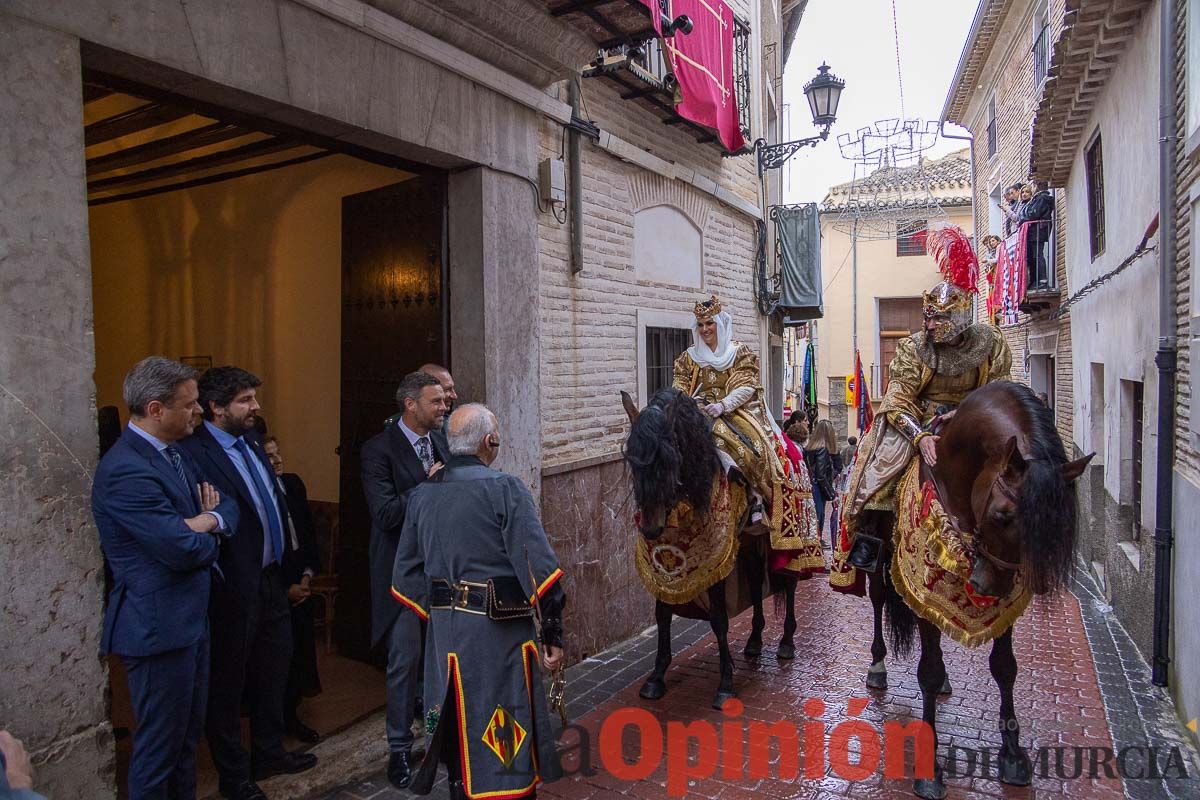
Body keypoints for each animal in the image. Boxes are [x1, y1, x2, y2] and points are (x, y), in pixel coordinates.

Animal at [619, 391, 796, 710]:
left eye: (670, 460)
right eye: (634, 463)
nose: (650, 528)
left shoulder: (716, 560)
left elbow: (719, 619)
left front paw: (725, 684)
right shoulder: (665, 569)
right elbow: (662, 614)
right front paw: (656, 676)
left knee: (788, 583)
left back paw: (787, 642)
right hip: (751, 544)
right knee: (755, 584)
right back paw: (754, 640)